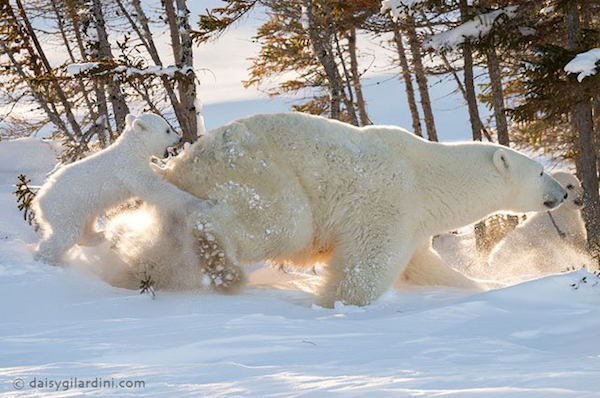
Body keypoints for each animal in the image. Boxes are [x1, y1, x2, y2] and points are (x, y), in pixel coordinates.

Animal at [143, 112, 564, 308]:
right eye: (541, 171)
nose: (561, 194)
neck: (428, 174)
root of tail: (184, 163)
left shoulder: (416, 219)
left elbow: (424, 266)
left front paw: (483, 285)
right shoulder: (389, 200)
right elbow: (368, 262)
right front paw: (336, 301)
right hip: (257, 171)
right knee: (281, 221)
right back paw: (223, 267)